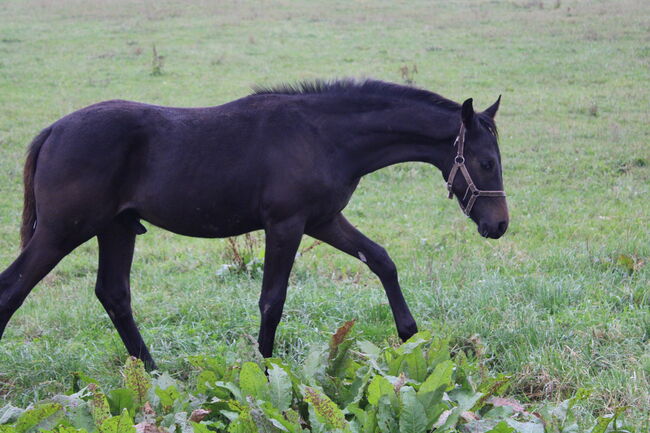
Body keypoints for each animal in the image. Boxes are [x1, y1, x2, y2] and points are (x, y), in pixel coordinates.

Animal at [0, 78, 506, 368]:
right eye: (485, 163)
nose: (499, 225)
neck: (322, 135)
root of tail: (53, 131)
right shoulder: (286, 224)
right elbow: (272, 300)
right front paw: (263, 368)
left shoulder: (323, 219)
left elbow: (381, 260)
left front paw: (408, 335)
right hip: (62, 231)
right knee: (14, 289)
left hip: (117, 228)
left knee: (113, 294)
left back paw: (153, 372)